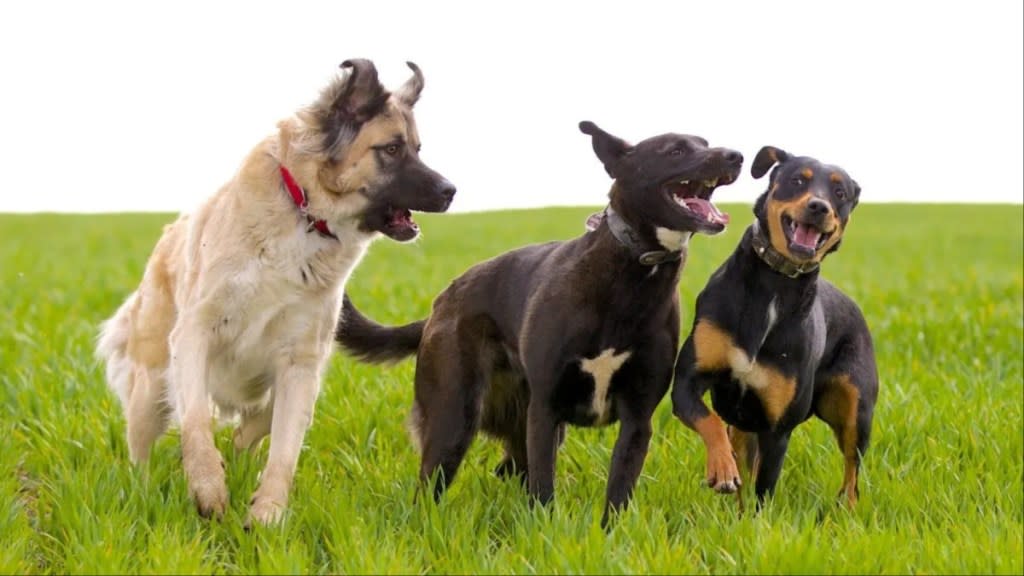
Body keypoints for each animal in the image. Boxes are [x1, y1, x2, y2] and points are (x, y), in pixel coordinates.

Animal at [96, 59, 456, 524]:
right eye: (392, 149)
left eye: (417, 147)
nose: (451, 191)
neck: (305, 215)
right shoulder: (194, 335)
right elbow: (195, 421)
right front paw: (208, 487)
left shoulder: (302, 364)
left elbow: (283, 450)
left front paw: (266, 513)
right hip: (150, 386)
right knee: (140, 448)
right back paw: (142, 493)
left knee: (254, 425)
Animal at [339, 121, 741, 524]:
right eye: (675, 150)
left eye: (704, 143)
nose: (736, 155)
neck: (631, 271)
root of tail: (442, 302)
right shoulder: (545, 410)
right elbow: (544, 489)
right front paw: (546, 530)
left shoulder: (637, 419)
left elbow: (618, 491)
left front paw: (607, 534)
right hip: (453, 419)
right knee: (431, 487)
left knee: (508, 468)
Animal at [671, 145, 880, 508]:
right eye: (797, 180)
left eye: (840, 193)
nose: (818, 206)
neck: (776, 282)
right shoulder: (687, 381)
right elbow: (711, 423)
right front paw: (722, 468)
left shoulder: (778, 427)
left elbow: (762, 492)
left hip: (856, 408)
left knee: (852, 471)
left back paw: (848, 511)